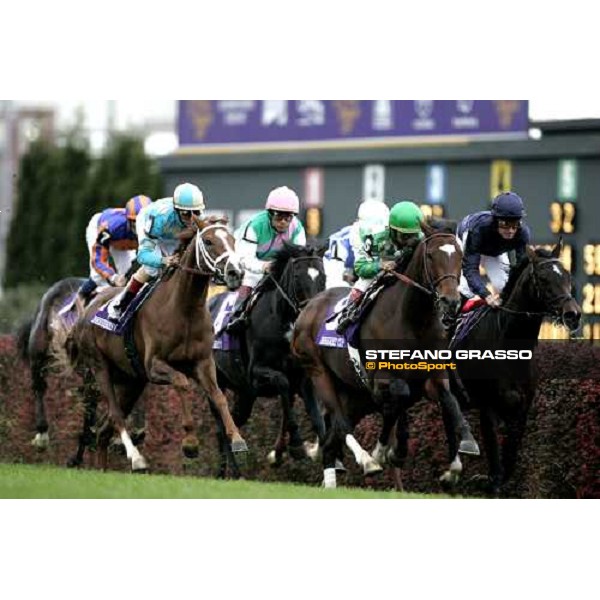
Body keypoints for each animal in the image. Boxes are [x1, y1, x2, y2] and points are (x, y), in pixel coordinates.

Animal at [63, 217, 246, 474]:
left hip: (131, 382)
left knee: (103, 431)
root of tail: (86, 311)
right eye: (209, 241)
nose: (235, 273)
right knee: (115, 415)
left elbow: (218, 396)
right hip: (99, 368)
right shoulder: (154, 365)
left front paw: (238, 439)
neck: (184, 309)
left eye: (232, 240)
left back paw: (103, 468)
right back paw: (136, 458)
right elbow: (181, 382)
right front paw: (190, 442)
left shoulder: (203, 363)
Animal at [290, 223, 478, 490]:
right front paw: (384, 452)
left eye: (460, 256)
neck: (413, 319)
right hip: (318, 371)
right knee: (340, 421)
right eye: (431, 256)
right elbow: (399, 399)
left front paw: (462, 452)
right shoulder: (383, 379)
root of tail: (307, 309)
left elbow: (449, 401)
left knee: (330, 441)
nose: (451, 302)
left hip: (354, 393)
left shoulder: (433, 375)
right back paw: (366, 460)